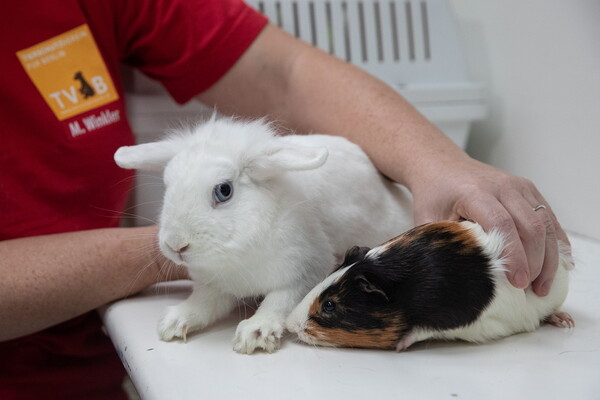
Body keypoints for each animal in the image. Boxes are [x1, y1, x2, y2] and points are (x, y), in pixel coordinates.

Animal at [113, 115, 412, 354]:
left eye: (224, 190)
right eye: (167, 185)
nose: (176, 245)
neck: (235, 254)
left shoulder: (306, 269)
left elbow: (279, 300)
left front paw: (255, 333)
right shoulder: (215, 284)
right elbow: (204, 302)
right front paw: (175, 322)